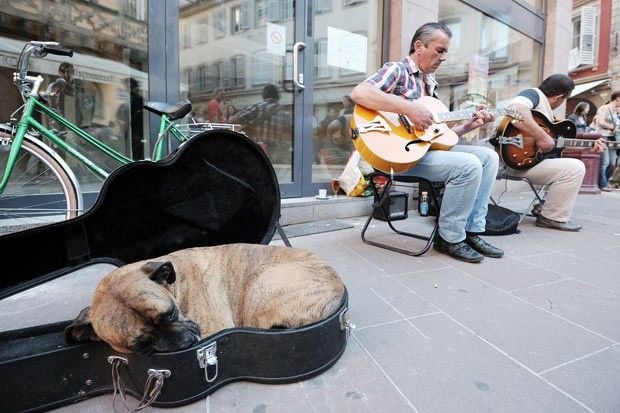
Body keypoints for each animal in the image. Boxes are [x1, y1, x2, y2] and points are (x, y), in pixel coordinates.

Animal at [66, 243, 346, 352]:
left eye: (170, 313)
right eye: (141, 347)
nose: (185, 342)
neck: (175, 287)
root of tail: (337, 285)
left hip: (261, 286)